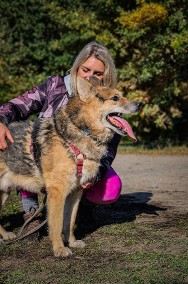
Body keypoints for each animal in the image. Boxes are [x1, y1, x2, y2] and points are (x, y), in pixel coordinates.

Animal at [0, 76, 141, 258]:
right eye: (115, 98)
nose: (139, 104)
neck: (82, 132)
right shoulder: (57, 193)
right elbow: (57, 224)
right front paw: (59, 249)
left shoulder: (76, 193)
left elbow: (69, 222)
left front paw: (72, 242)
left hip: (4, 191)